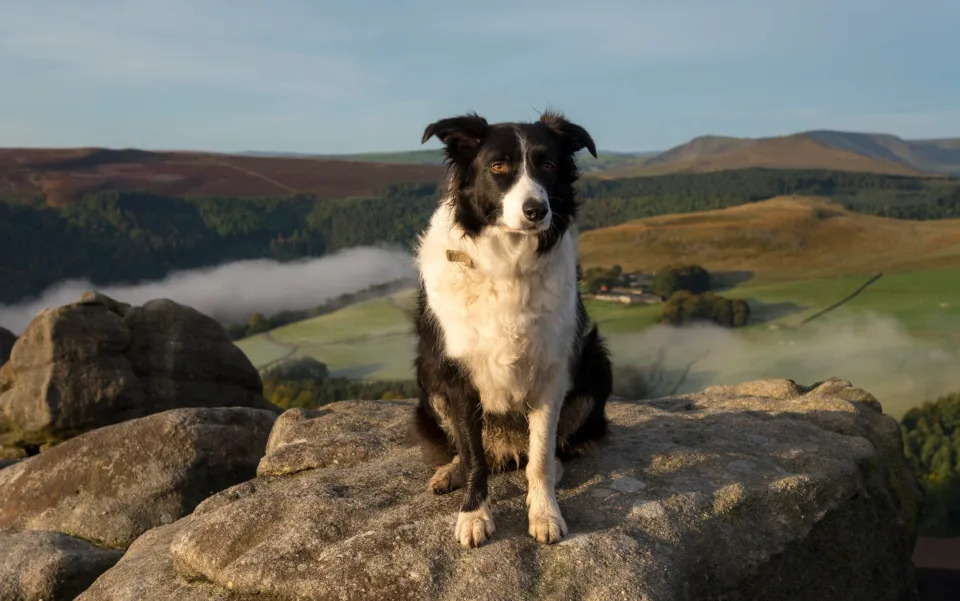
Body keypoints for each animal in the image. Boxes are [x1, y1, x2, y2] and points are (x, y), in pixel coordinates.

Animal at [408, 110, 612, 548]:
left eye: (547, 165)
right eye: (498, 167)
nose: (536, 210)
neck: (507, 262)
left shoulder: (552, 372)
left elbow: (540, 459)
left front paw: (545, 512)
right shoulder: (457, 375)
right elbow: (473, 456)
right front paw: (473, 514)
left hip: (596, 361)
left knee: (550, 450)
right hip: (427, 376)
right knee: (471, 449)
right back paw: (449, 471)